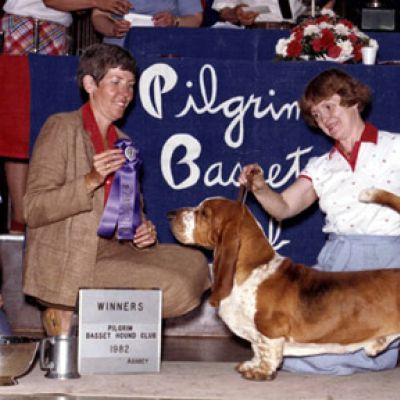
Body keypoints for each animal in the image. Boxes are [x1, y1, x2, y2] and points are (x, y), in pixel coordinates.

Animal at [168, 195, 400, 380]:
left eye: (204, 213)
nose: (170, 214)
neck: (254, 269)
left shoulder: (269, 329)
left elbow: (267, 350)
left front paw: (260, 371)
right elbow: (256, 349)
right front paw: (252, 364)